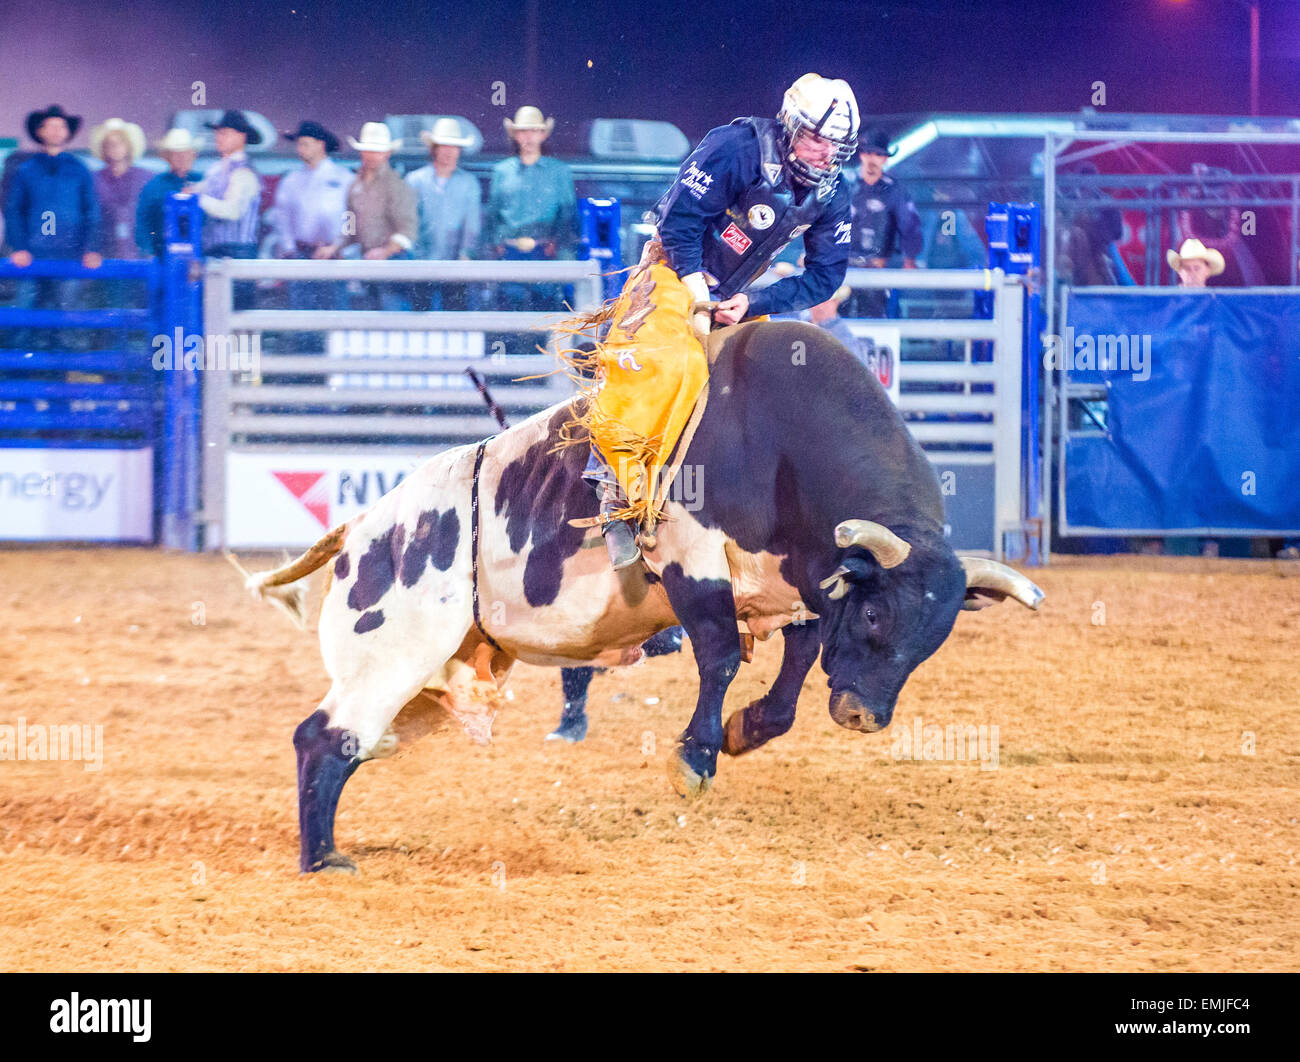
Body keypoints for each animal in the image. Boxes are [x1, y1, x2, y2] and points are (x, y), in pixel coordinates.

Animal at [238, 320, 1044, 873]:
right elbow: (718, 655)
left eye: (931, 640)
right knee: (322, 737)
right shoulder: (692, 558)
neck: (782, 438)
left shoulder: (796, 589)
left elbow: (793, 671)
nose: (862, 716)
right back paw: (323, 860)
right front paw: (695, 759)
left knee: (353, 742)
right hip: (389, 652)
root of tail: (360, 529)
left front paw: (745, 730)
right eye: (878, 612)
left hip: (426, 686)